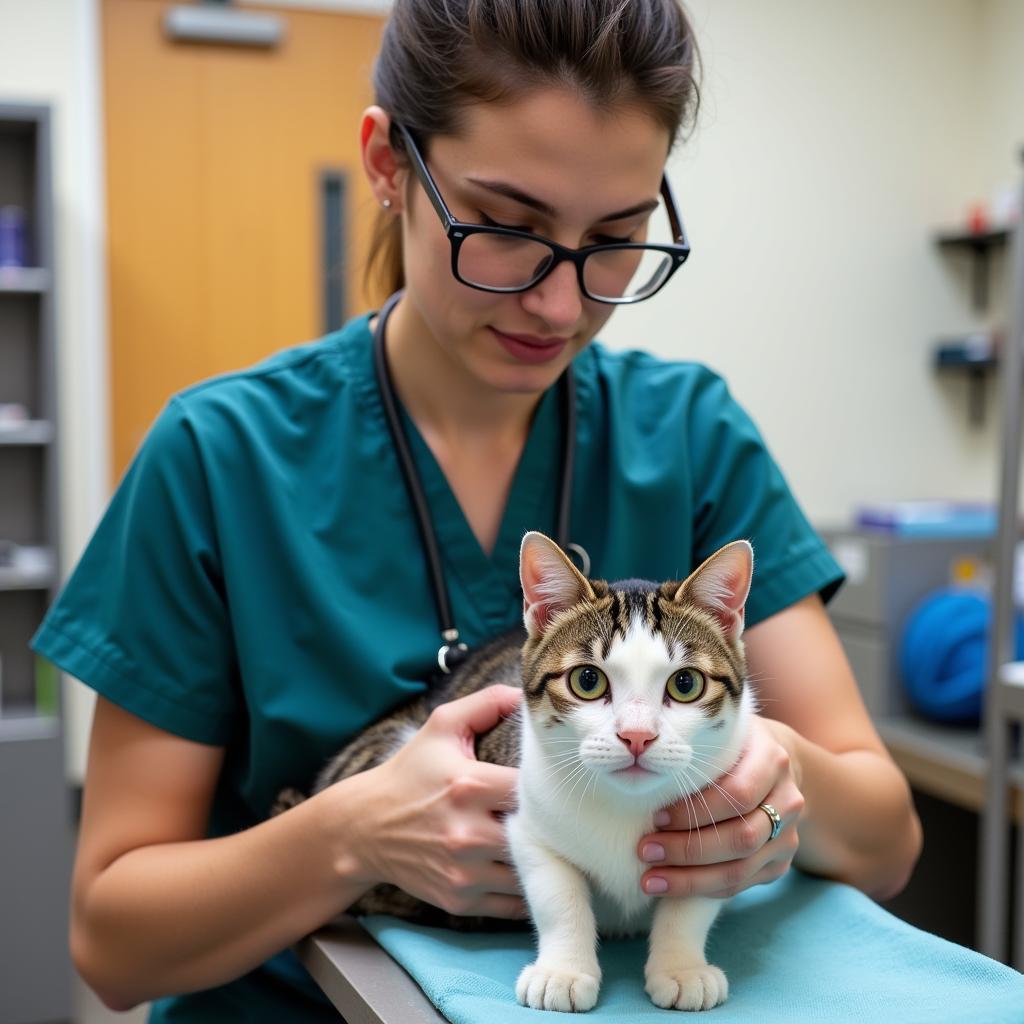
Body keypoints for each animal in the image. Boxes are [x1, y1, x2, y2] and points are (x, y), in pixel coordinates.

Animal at [272, 532, 753, 1011]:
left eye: (685, 684)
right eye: (588, 681)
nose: (636, 736)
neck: (627, 803)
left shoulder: (712, 829)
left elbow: (693, 896)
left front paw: (681, 966)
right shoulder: (528, 825)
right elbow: (557, 893)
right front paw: (563, 970)